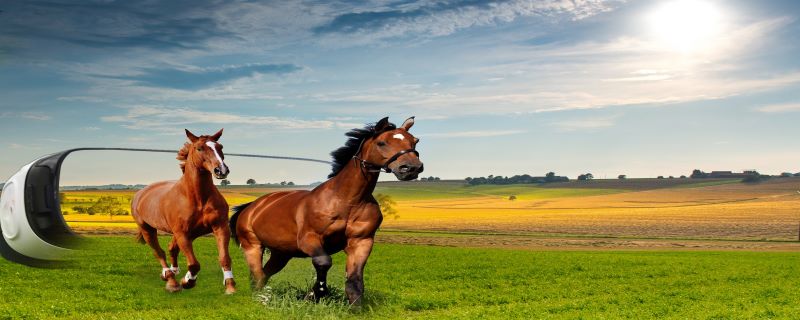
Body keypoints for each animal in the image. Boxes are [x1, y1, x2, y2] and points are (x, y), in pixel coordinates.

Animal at [131, 129, 236, 294]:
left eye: (220, 147)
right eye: (199, 148)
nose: (221, 170)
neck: (198, 198)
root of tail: (139, 194)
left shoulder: (220, 227)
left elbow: (224, 258)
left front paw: (230, 286)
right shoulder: (182, 233)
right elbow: (194, 264)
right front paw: (187, 282)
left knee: (171, 248)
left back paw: (173, 272)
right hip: (148, 229)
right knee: (159, 252)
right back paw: (171, 280)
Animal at [231, 117, 424, 304]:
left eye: (414, 141)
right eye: (382, 143)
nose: (411, 167)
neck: (348, 201)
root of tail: (251, 207)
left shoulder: (361, 242)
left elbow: (354, 281)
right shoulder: (309, 239)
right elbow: (324, 262)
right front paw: (314, 294)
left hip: (281, 254)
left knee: (264, 274)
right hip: (252, 246)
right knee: (257, 275)